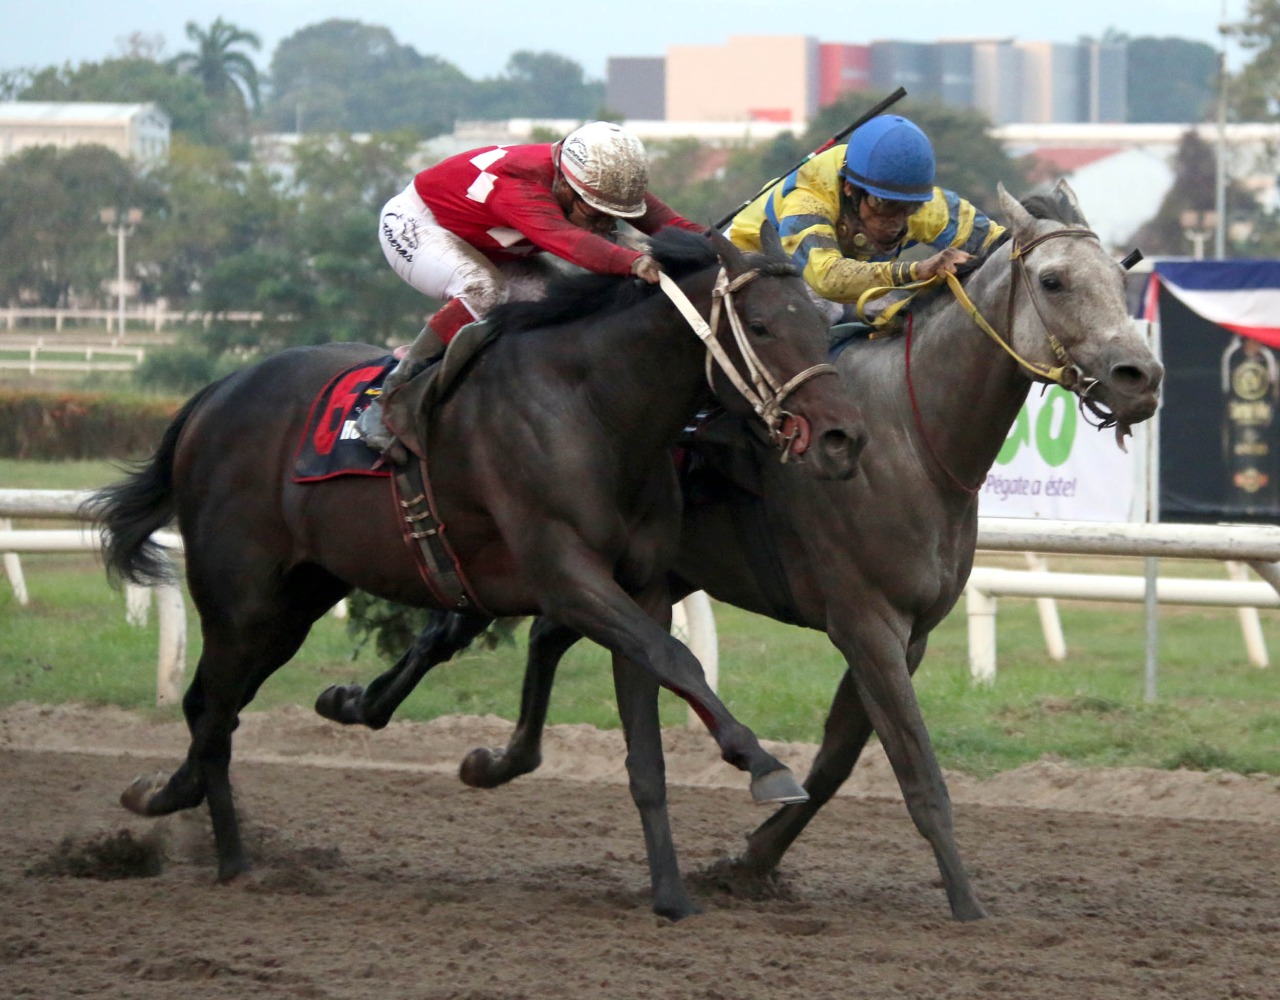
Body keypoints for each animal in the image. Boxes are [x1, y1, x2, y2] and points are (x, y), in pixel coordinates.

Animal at [90, 226, 865, 921]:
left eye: (822, 325)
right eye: (761, 326)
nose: (842, 438)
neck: (595, 409)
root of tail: (214, 394)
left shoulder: (640, 587)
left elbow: (648, 746)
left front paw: (671, 896)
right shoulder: (566, 576)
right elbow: (679, 660)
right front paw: (763, 764)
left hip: (294, 602)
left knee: (212, 708)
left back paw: (169, 801)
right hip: (241, 599)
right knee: (214, 713)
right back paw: (232, 861)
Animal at [317, 181, 1162, 921]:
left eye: (1123, 280)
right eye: (1053, 280)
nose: (1140, 376)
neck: (911, 437)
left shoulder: (910, 634)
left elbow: (835, 763)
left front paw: (746, 865)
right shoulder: (866, 623)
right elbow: (916, 769)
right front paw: (966, 904)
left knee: (546, 634)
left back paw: (467, 748)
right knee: (468, 629)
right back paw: (370, 703)